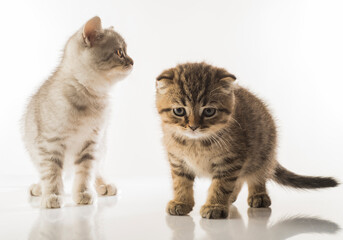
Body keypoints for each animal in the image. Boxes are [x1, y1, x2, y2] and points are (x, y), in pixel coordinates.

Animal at [23, 16, 134, 208]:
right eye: (120, 52)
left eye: (125, 51)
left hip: (102, 147)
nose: (133, 61)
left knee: (97, 171)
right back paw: (39, 187)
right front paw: (52, 195)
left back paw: (104, 185)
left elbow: (85, 172)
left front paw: (83, 193)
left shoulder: (91, 143)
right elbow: (51, 173)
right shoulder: (50, 143)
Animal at [157, 62, 340, 219]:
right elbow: (181, 183)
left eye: (209, 111)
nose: (193, 126)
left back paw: (258, 195)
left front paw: (215, 206)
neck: (195, 143)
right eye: (179, 111)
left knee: (257, 176)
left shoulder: (231, 160)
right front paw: (181, 202)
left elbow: (221, 184)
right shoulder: (177, 161)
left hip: (263, 152)